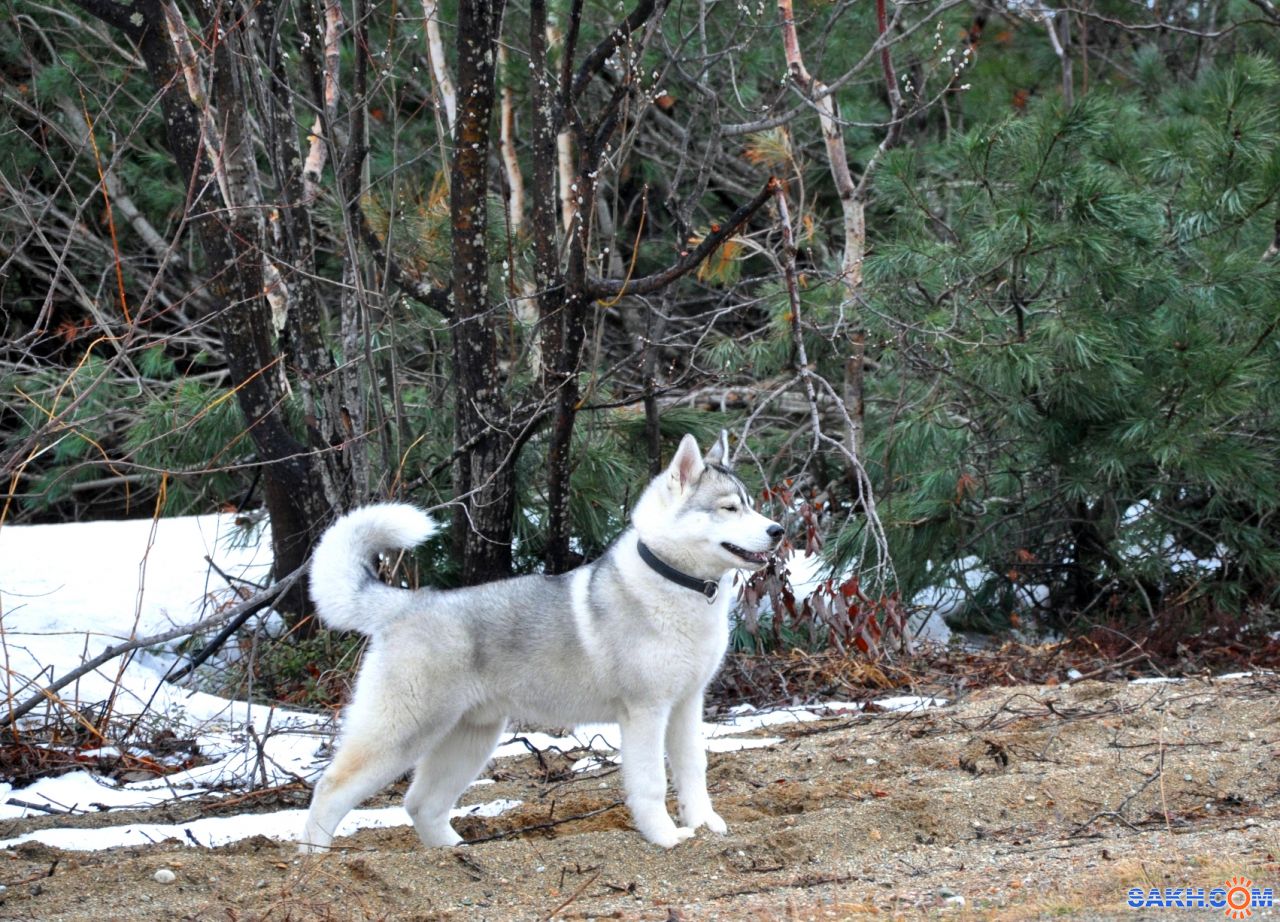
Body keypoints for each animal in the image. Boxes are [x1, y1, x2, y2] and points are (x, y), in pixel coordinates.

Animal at [299, 431, 783, 852]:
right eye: (729, 508)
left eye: (750, 505)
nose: (777, 530)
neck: (679, 583)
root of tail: (407, 605)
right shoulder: (645, 711)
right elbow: (650, 782)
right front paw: (664, 837)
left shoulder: (685, 705)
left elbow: (692, 769)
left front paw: (704, 824)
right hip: (403, 730)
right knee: (331, 788)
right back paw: (316, 860)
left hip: (470, 738)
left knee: (421, 804)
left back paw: (457, 853)